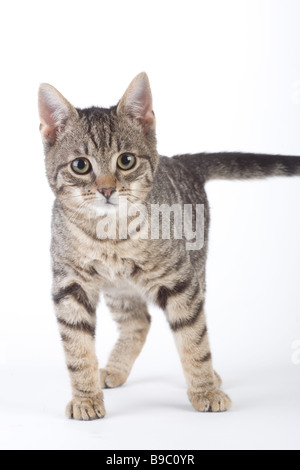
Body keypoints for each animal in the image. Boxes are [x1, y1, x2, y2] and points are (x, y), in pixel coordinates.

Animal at [38, 74, 300, 422]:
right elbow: (77, 349)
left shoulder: (181, 282)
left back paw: (209, 376)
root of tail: (180, 162)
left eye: (126, 160)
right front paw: (85, 397)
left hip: (196, 267)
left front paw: (205, 389)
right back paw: (113, 370)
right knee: (138, 322)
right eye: (80, 165)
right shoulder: (70, 285)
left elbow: (194, 338)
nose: (106, 189)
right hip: (120, 290)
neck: (110, 236)